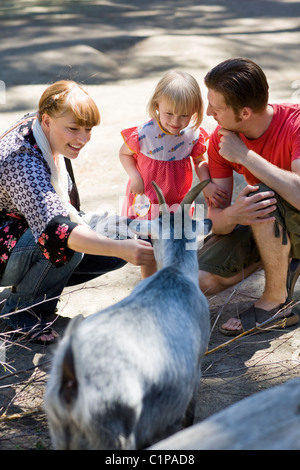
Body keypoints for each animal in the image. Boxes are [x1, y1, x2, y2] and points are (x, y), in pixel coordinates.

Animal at [44, 179, 212, 448]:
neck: (175, 272)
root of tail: (71, 381)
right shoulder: (195, 369)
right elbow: (189, 417)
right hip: (114, 429)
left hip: (60, 429)